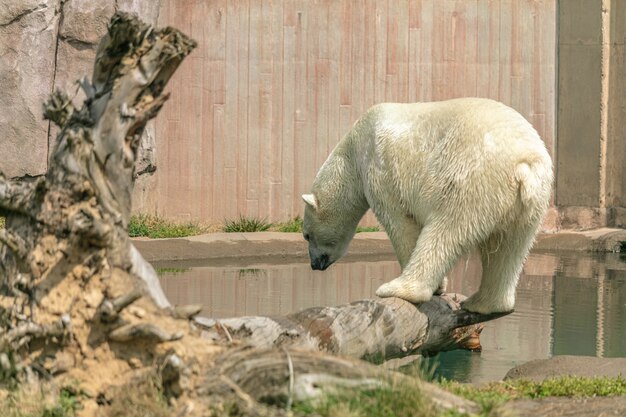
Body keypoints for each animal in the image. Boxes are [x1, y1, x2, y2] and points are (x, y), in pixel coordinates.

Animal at [302, 97, 552, 312]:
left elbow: (400, 225)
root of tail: (525, 163)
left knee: (446, 231)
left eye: (306, 235)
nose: (314, 264)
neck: (352, 151)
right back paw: (484, 302)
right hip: (529, 205)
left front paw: (437, 287)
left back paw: (398, 288)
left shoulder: (379, 170)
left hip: (471, 178)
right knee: (509, 247)